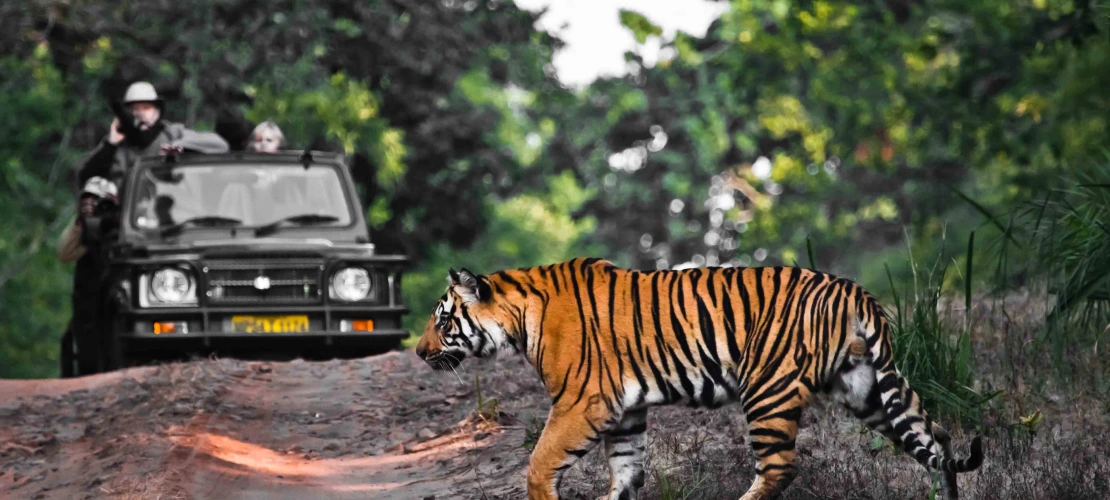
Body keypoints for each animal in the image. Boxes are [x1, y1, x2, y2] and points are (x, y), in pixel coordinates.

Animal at [415, 257, 981, 500]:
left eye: (442, 321)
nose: (419, 353)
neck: (520, 316)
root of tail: (854, 290)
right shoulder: (625, 410)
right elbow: (626, 472)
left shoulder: (582, 402)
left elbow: (538, 466)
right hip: (867, 389)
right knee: (937, 437)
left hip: (768, 390)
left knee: (779, 469)